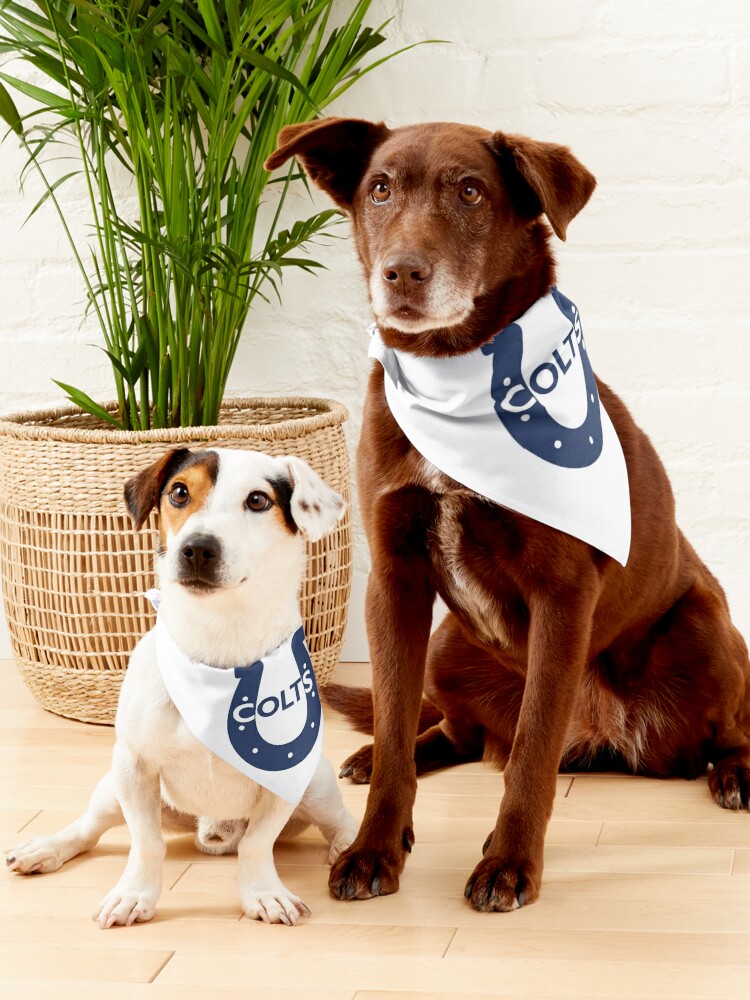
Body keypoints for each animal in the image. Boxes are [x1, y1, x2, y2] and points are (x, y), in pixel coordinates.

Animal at [5, 450, 358, 924]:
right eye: (179, 492)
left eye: (258, 500)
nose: (198, 547)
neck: (217, 646)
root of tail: (213, 829)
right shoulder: (133, 766)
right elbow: (146, 843)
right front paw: (134, 894)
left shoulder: (285, 777)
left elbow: (257, 844)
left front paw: (262, 893)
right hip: (113, 788)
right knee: (89, 828)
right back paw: (46, 848)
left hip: (315, 783)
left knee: (339, 820)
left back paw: (349, 849)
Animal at [266, 119, 750, 916]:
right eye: (379, 189)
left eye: (470, 192)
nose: (402, 273)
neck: (452, 369)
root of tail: (614, 741)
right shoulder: (393, 580)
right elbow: (397, 721)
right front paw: (374, 846)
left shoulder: (563, 597)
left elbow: (531, 753)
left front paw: (509, 864)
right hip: (448, 647)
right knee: (453, 729)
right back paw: (379, 754)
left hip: (703, 632)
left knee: (729, 726)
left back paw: (735, 773)